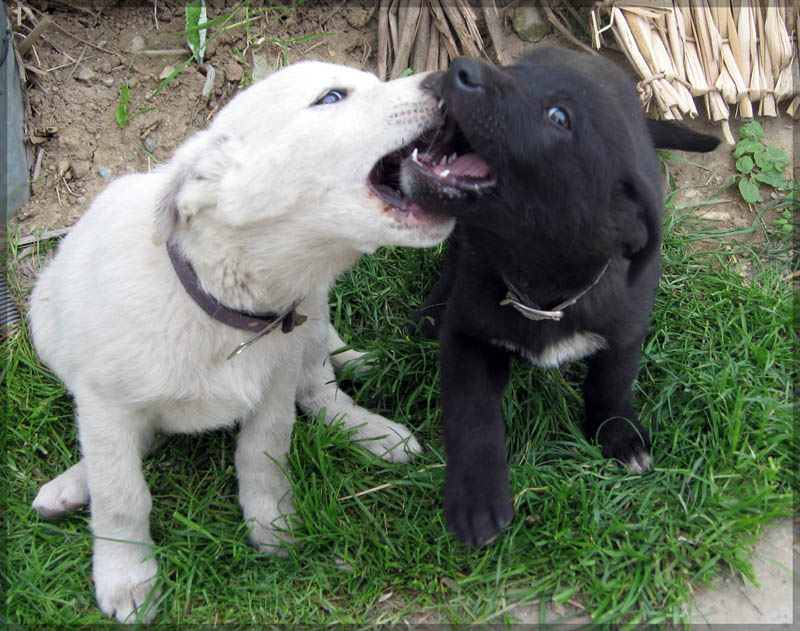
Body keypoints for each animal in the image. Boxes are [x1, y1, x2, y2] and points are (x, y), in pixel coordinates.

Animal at [29, 61, 456, 624]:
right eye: (332, 97)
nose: (448, 80)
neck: (222, 308)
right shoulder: (105, 405)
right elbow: (121, 495)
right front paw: (126, 576)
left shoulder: (274, 386)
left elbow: (264, 452)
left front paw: (272, 525)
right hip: (44, 324)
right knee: (136, 444)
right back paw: (70, 486)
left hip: (314, 317)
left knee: (318, 388)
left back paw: (374, 431)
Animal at [400, 47, 720, 544]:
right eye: (513, 72)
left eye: (559, 117)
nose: (458, 67)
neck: (539, 292)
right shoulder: (467, 336)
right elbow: (472, 410)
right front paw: (476, 496)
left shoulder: (627, 331)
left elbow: (610, 384)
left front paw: (619, 436)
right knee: (453, 259)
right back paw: (429, 315)